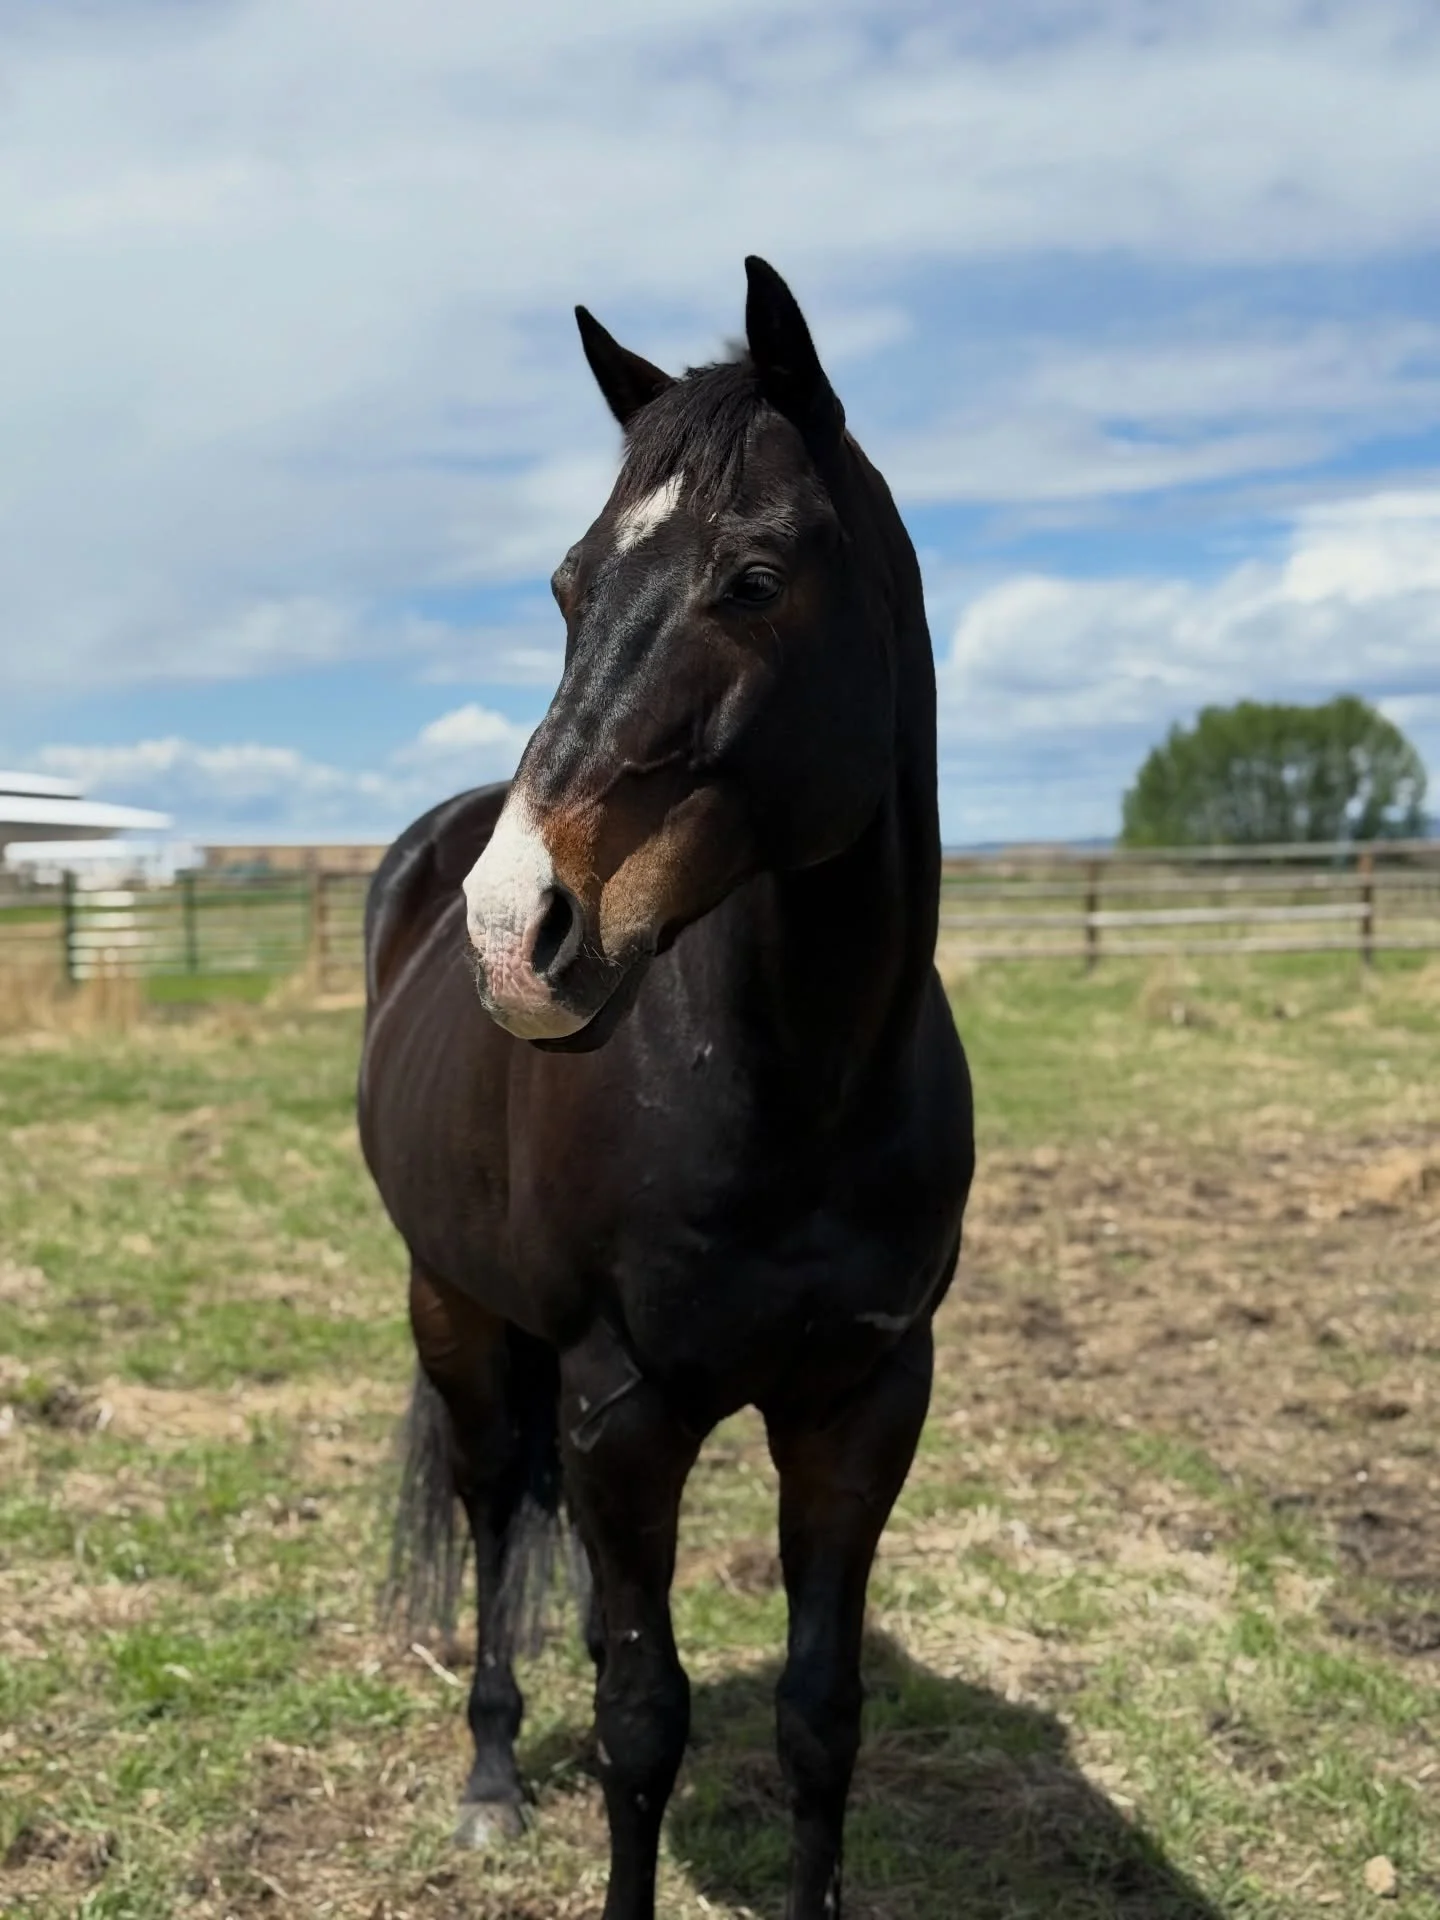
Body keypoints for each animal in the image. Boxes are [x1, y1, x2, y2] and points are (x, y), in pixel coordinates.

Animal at [358, 256, 974, 1920]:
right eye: (568, 589)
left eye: (754, 578)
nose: (516, 927)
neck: (799, 1091)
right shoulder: (623, 1403)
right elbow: (646, 1720)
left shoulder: (862, 1405)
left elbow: (818, 1719)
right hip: (460, 1315)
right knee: (494, 1514)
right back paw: (494, 1776)